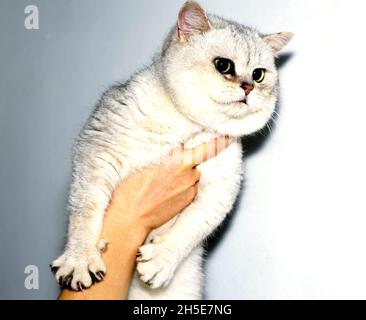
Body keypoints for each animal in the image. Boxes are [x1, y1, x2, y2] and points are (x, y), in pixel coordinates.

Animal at [50, 0, 292, 300]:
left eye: (259, 74)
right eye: (223, 65)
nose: (248, 86)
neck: (189, 125)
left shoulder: (221, 189)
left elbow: (192, 228)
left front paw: (160, 260)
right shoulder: (98, 151)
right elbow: (85, 209)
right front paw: (80, 258)